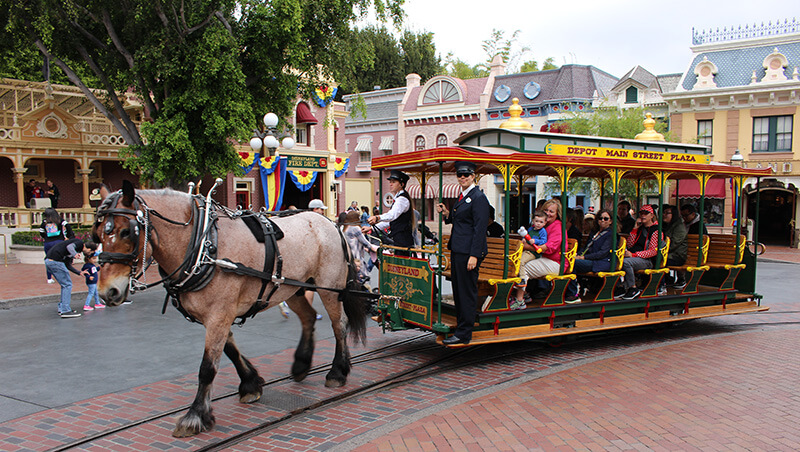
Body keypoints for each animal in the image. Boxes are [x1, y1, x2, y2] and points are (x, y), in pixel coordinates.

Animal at [92, 181, 368, 438]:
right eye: (98, 234)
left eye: (126, 232)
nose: (108, 292)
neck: (203, 244)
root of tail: (329, 223)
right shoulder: (217, 315)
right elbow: (230, 351)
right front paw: (251, 384)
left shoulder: (219, 314)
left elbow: (207, 367)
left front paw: (195, 416)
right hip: (294, 288)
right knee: (309, 317)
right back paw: (301, 365)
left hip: (329, 288)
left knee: (339, 325)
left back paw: (337, 372)